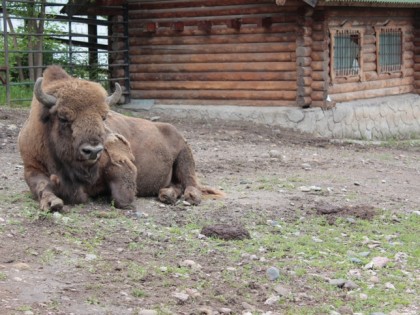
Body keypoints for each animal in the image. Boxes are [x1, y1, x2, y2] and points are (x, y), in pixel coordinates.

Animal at [18, 65, 223, 211]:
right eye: (63, 117)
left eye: (104, 116)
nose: (93, 151)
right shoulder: (31, 167)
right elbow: (42, 185)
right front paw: (53, 202)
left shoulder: (122, 164)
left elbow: (121, 197)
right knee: (177, 184)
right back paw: (167, 195)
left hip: (185, 156)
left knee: (190, 182)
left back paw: (190, 197)